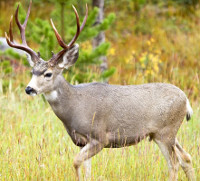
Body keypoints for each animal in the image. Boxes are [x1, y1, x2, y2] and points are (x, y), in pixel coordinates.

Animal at [5, 0, 195, 180]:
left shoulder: (100, 137)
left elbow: (75, 162)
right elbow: (86, 169)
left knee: (174, 164)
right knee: (186, 158)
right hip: (165, 133)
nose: (29, 89)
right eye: (32, 71)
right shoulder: (82, 141)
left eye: (48, 74)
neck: (75, 106)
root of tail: (186, 100)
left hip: (165, 132)